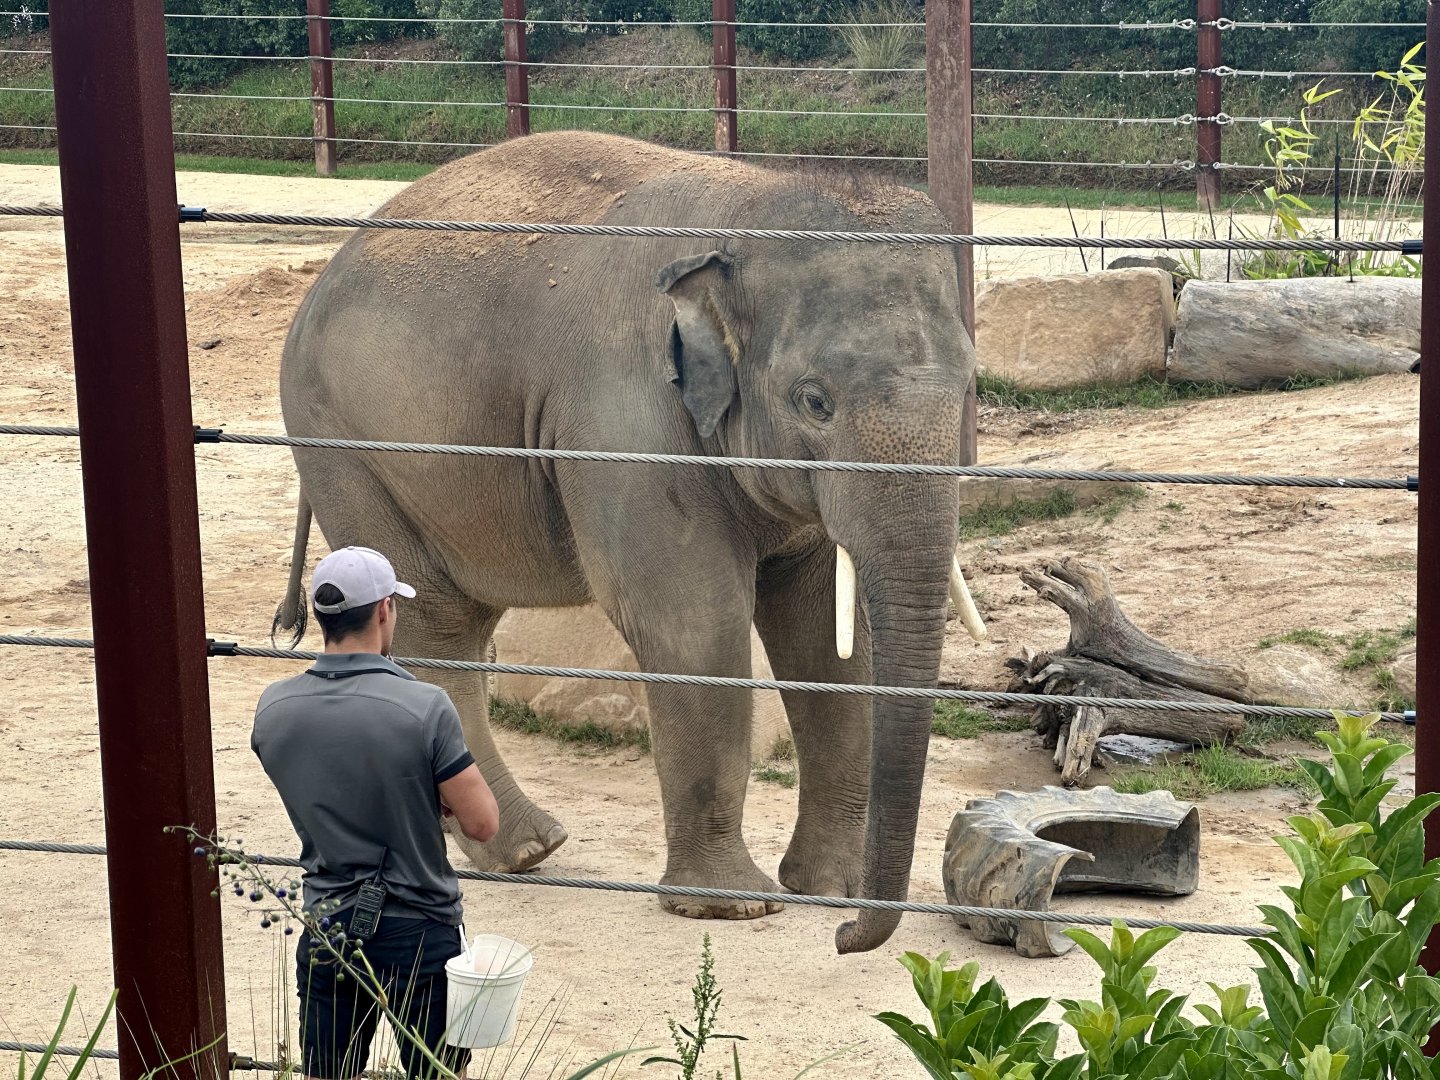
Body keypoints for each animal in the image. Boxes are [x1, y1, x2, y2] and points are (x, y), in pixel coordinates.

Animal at [273, 130, 979, 954]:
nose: (844, 941)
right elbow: (693, 624)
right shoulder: (630, 420)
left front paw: (827, 890)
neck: (754, 205)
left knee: (458, 624)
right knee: (428, 624)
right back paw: (530, 848)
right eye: (815, 402)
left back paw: (524, 849)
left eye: (968, 386)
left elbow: (824, 643)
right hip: (343, 447)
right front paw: (733, 908)